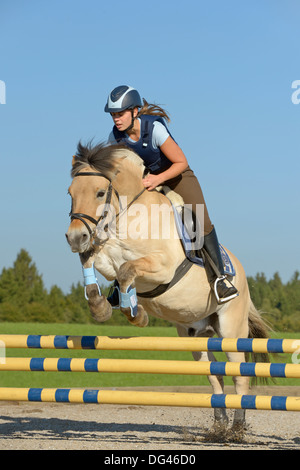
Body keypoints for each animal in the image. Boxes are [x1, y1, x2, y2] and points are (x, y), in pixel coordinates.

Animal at [65, 141, 270, 436]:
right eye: (70, 193)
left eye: (100, 192)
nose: (74, 237)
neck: (127, 218)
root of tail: (241, 272)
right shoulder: (104, 255)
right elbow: (93, 261)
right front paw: (102, 307)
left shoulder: (161, 267)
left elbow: (126, 270)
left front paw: (136, 315)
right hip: (195, 335)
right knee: (214, 375)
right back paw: (219, 426)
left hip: (232, 329)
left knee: (239, 375)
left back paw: (237, 429)